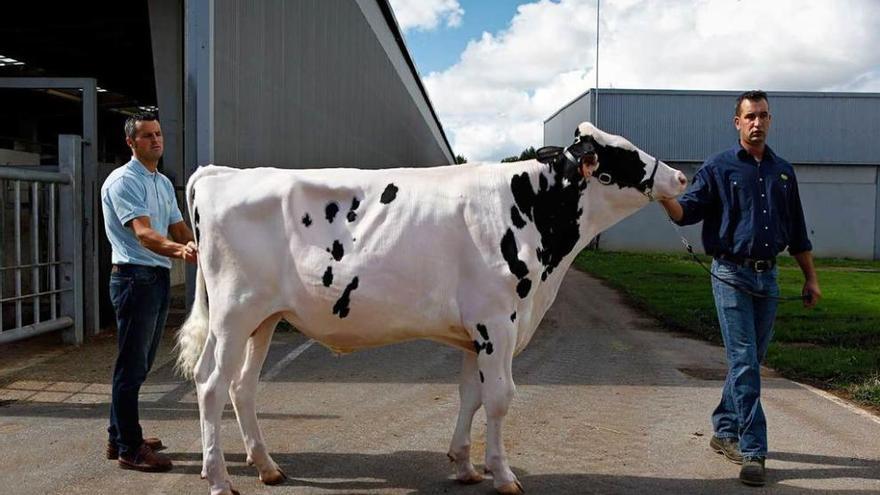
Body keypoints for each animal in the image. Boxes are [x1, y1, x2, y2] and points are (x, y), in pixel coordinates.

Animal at [177, 122, 688, 494]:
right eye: (625, 154)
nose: (681, 177)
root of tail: (224, 173)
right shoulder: (497, 321)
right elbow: (500, 398)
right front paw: (504, 475)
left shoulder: (474, 332)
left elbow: (471, 395)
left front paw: (464, 465)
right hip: (233, 315)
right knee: (211, 385)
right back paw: (219, 478)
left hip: (263, 318)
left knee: (242, 386)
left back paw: (267, 466)